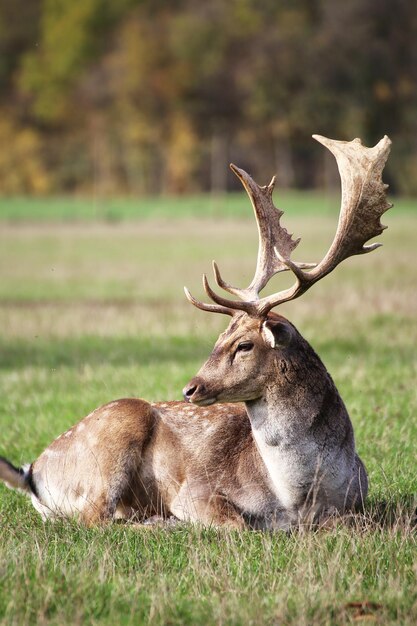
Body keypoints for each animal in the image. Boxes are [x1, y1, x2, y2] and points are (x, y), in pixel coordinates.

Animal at [0, 134, 390, 528]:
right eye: (218, 339)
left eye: (244, 345)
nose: (191, 388)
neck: (297, 499)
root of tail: (32, 472)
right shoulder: (196, 491)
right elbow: (238, 524)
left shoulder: (358, 501)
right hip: (115, 434)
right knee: (96, 519)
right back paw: (157, 522)